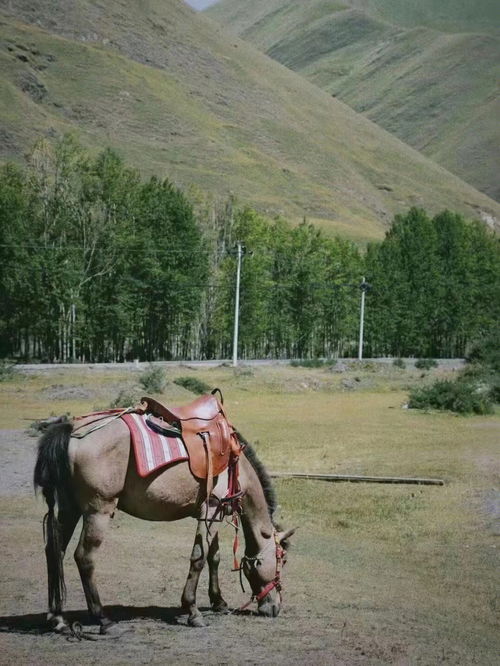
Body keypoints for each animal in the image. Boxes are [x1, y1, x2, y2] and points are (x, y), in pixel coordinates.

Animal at [33, 412, 294, 636]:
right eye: (282, 560)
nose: (275, 608)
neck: (236, 466)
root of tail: (72, 430)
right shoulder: (210, 509)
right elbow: (199, 558)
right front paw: (193, 611)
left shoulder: (216, 512)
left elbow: (214, 557)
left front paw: (218, 601)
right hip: (98, 510)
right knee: (84, 557)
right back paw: (103, 620)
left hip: (69, 508)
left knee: (54, 551)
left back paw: (57, 619)